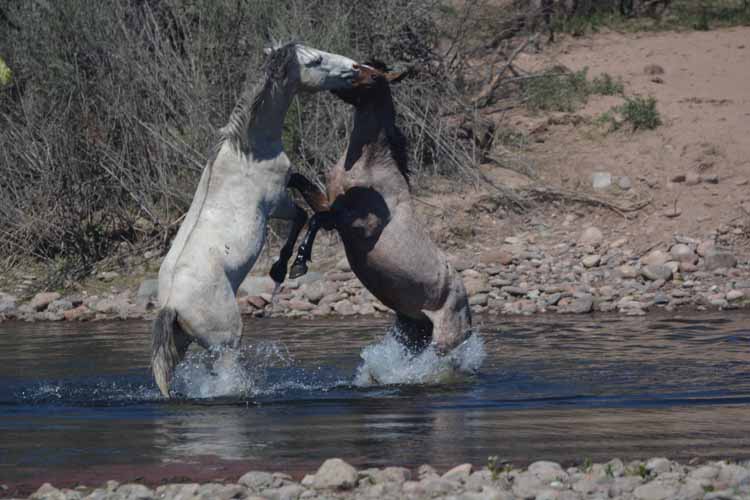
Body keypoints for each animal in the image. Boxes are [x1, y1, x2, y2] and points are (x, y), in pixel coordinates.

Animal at [153, 43, 362, 396]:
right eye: (316, 60)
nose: (355, 67)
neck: (249, 151)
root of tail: (172, 306)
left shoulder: (284, 190)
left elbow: (307, 196)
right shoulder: (277, 203)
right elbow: (305, 215)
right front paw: (289, 266)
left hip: (183, 347)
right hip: (227, 343)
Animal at [286, 63, 470, 356]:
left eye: (373, 76)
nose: (336, 82)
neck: (367, 168)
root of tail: (467, 313)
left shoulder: (359, 225)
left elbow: (316, 220)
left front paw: (298, 264)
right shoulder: (329, 203)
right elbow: (301, 189)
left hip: (444, 341)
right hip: (412, 329)